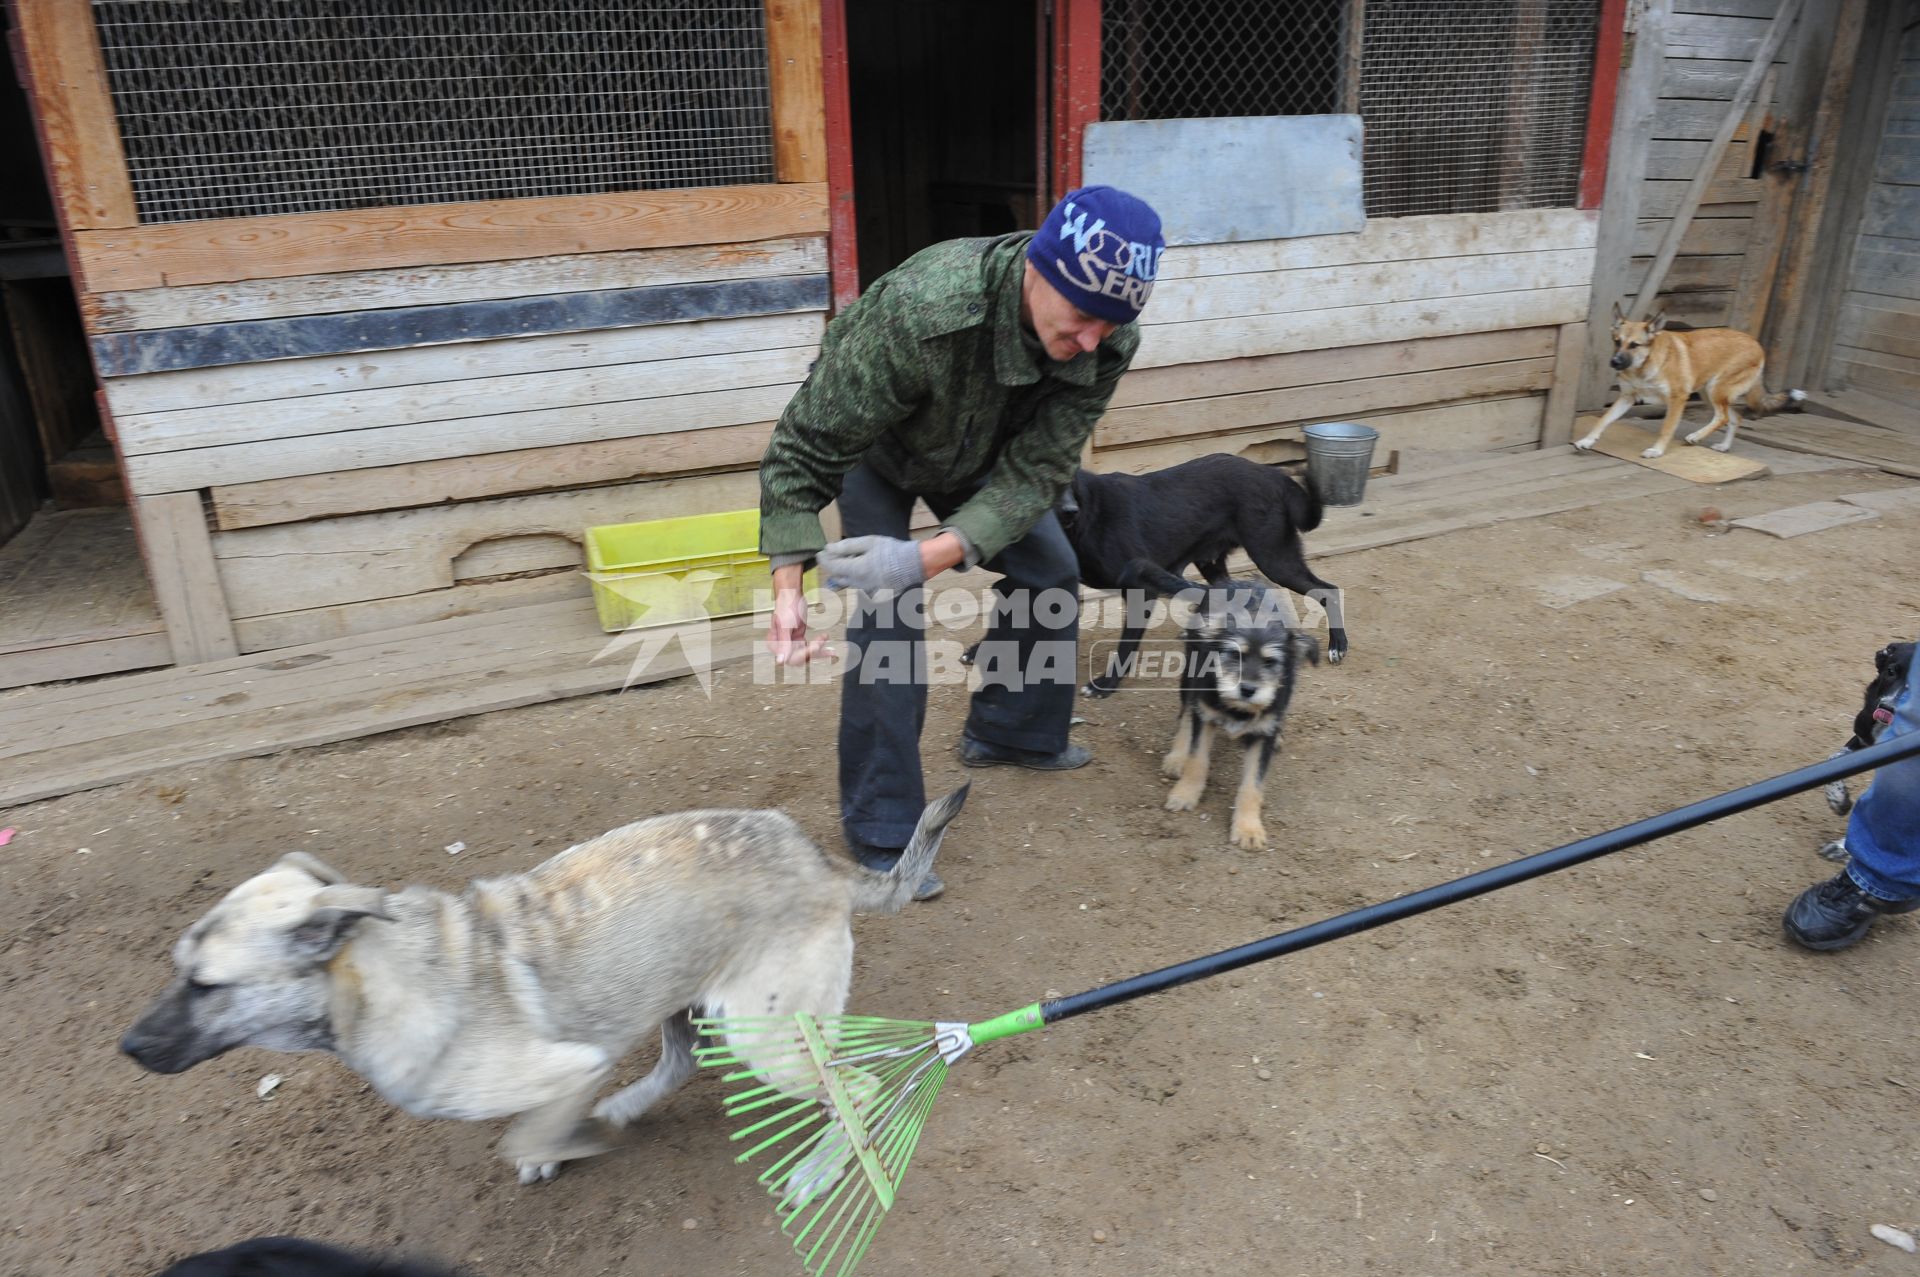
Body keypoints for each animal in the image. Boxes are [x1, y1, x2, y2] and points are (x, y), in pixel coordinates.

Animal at [120, 787, 967, 1182]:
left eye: (203, 983)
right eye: (178, 967)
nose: (126, 1045)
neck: (382, 976)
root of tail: (821, 862)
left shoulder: (570, 1066)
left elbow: (524, 1131)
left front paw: (568, 1141)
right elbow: (536, 1130)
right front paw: (575, 1135)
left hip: (761, 1032)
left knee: (855, 1089)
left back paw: (820, 1169)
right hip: (688, 998)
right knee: (684, 1061)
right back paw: (626, 1106)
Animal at [1059, 453, 1344, 691]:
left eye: (1066, 483)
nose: (1069, 511)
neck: (1086, 514)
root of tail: (1270, 473)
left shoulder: (1141, 587)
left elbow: (1125, 647)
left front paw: (1105, 684)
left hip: (1274, 558)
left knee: (1328, 591)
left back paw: (1338, 646)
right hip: (1213, 563)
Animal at [1121, 560, 1320, 844]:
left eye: (1270, 662)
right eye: (1234, 655)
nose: (1247, 689)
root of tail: (1220, 585)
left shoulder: (1263, 736)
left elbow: (1252, 784)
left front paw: (1248, 829)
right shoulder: (1205, 714)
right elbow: (1197, 760)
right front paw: (1184, 794)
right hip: (1190, 676)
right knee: (1186, 714)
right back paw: (1177, 757)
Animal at [1574, 305, 1797, 462]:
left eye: (1634, 345)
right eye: (1617, 341)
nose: (1614, 362)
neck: (1645, 365)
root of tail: (1756, 343)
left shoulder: (1677, 399)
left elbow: (1666, 428)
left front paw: (1656, 450)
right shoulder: (1627, 398)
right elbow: (1603, 420)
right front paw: (1587, 440)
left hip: (1715, 391)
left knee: (1723, 417)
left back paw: (1696, 436)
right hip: (1710, 395)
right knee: (1734, 417)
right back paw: (1724, 446)